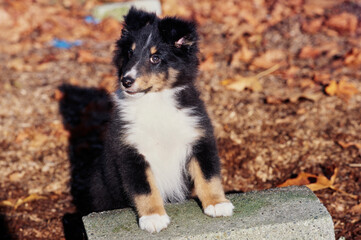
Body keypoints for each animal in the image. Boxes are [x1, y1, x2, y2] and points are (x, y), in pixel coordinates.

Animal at [90, 7, 233, 232]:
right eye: (130, 53)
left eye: (155, 58)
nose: (126, 81)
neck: (155, 101)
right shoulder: (130, 151)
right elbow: (144, 188)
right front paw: (153, 217)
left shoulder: (199, 138)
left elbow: (208, 175)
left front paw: (217, 204)